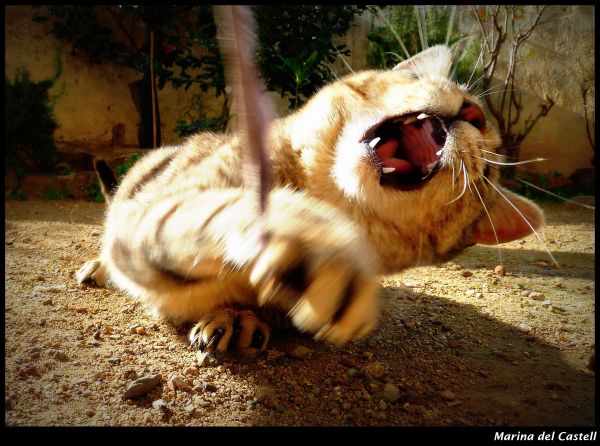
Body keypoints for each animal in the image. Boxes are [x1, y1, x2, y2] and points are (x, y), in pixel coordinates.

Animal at [75, 45, 544, 358]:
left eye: (486, 176)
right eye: (416, 80)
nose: (474, 113)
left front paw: (247, 313)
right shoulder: (154, 212)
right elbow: (223, 210)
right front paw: (312, 243)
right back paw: (98, 268)